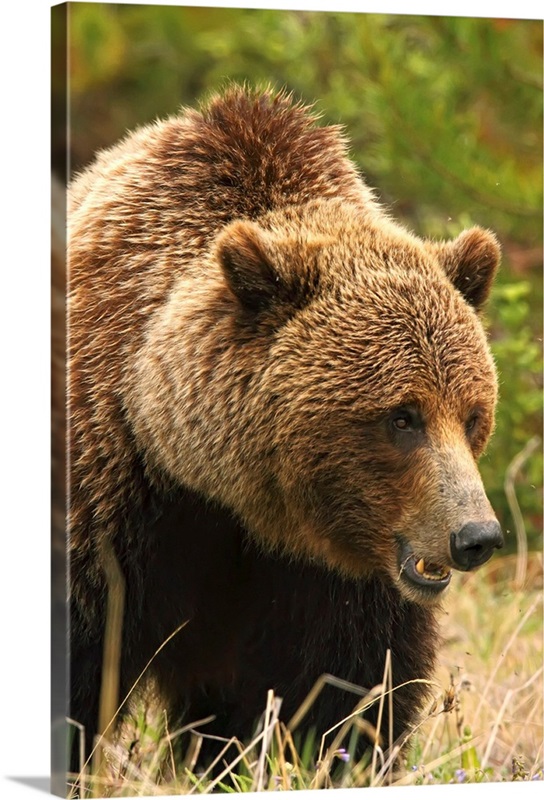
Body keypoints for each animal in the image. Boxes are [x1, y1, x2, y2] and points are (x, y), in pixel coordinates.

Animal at [66, 86, 504, 776]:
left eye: (471, 414)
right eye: (401, 416)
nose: (476, 535)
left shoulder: (335, 579)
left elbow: (344, 690)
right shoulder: (113, 495)